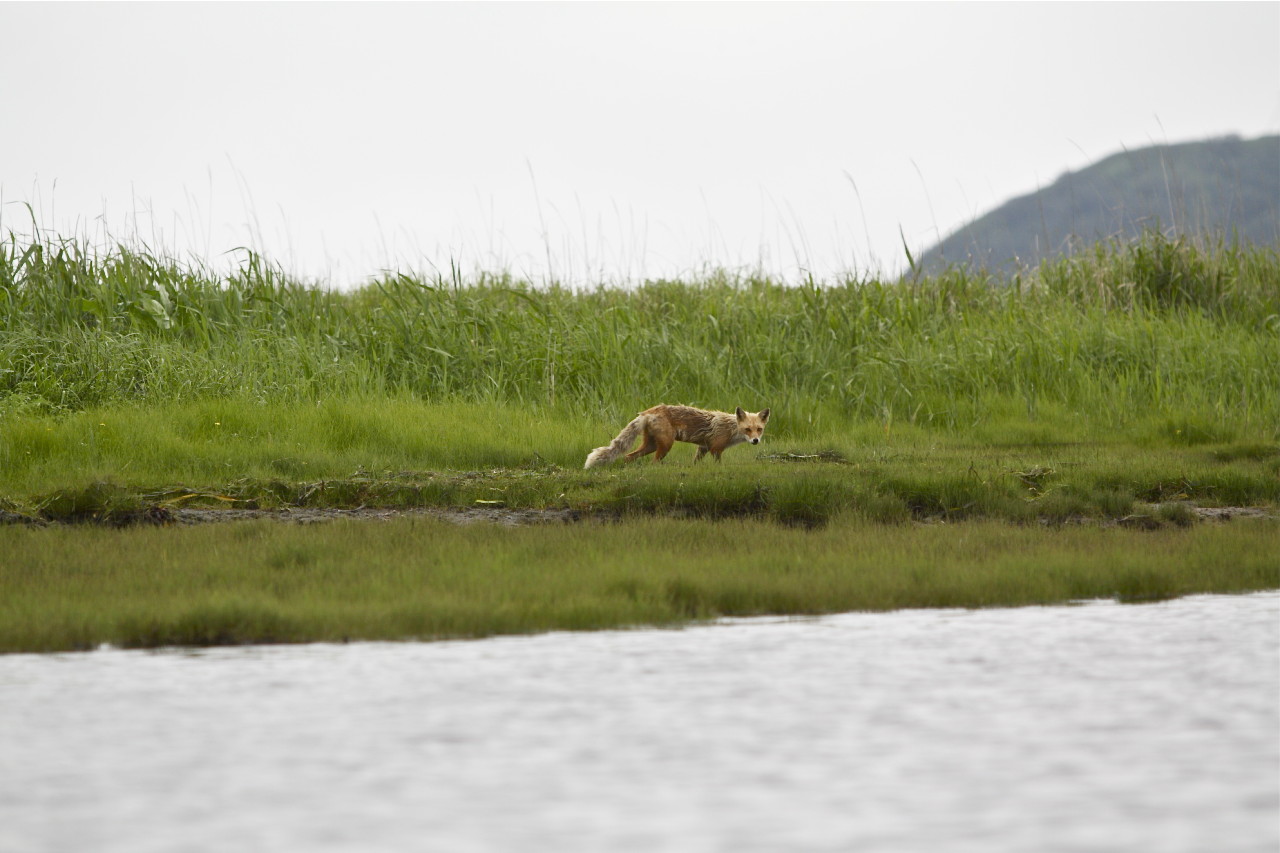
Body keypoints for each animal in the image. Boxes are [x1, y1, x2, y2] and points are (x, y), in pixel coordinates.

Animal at [583, 404, 768, 468]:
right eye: (747, 430)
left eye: (759, 429)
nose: (755, 441)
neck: (731, 428)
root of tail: (648, 411)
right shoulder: (715, 449)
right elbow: (718, 464)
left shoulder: (703, 447)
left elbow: (695, 462)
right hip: (665, 445)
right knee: (653, 462)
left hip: (650, 445)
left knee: (628, 457)